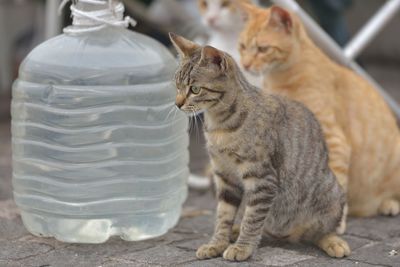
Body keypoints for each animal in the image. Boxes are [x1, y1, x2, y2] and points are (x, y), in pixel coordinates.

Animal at [169, 31, 350, 262]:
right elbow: (223, 216)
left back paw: (333, 241)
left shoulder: (262, 178)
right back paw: (236, 231)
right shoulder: (225, 177)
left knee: (319, 230)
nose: (177, 104)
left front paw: (242, 248)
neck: (219, 125)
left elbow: (253, 219)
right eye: (177, 86)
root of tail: (287, 234)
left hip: (331, 192)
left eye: (194, 89)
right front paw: (217, 243)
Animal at [238, 4, 400, 221]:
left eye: (263, 49)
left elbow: (334, 185)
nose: (245, 64)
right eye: (242, 46)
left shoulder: (333, 140)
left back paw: (389, 204)